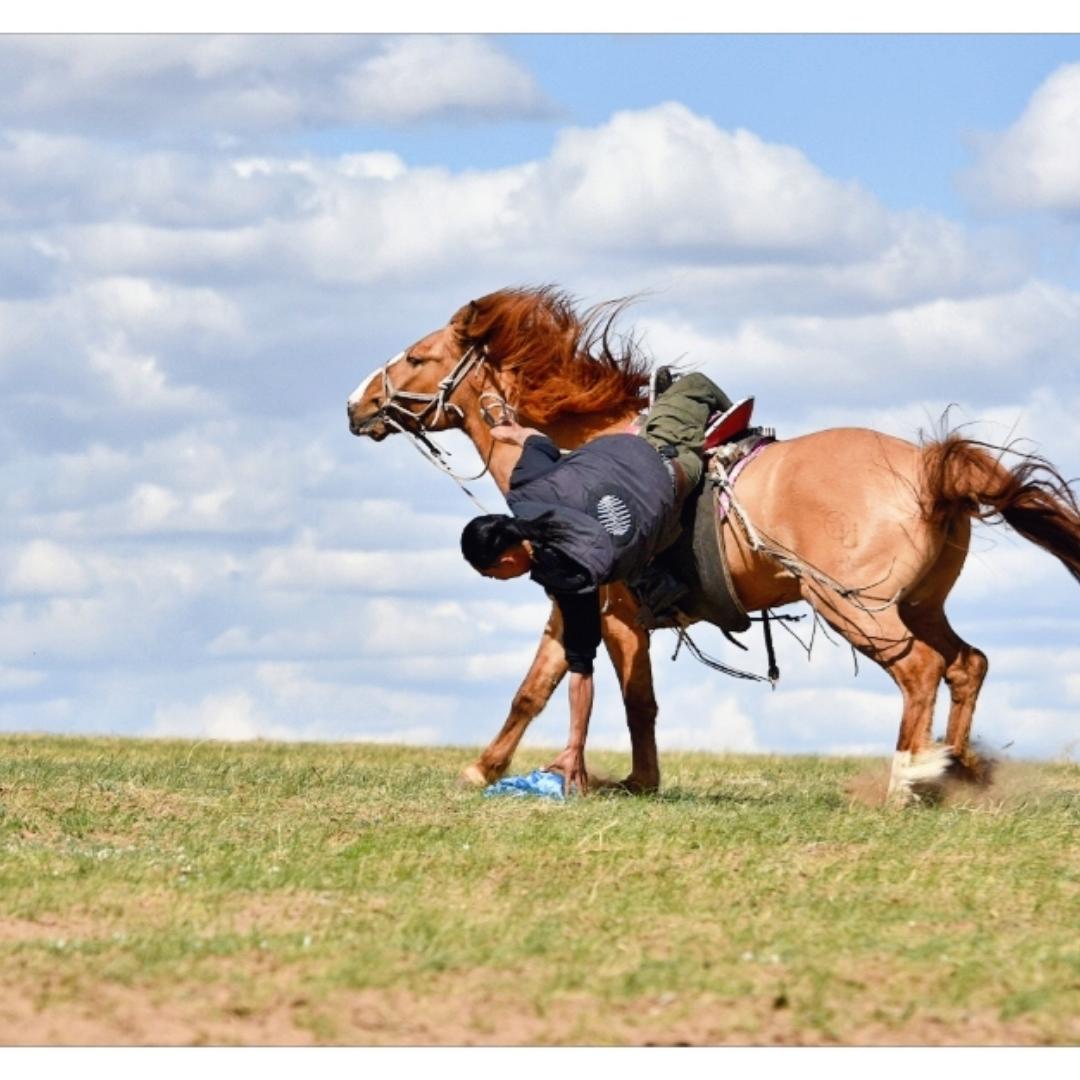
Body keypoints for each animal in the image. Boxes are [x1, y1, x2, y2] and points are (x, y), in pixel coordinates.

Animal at [345, 287, 1080, 803]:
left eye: (417, 357)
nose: (356, 404)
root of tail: (929, 466)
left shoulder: (611, 609)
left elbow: (629, 698)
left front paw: (615, 780)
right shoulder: (573, 604)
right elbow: (536, 688)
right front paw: (484, 769)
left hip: (855, 608)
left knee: (922, 670)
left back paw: (908, 778)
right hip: (920, 603)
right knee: (967, 664)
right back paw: (958, 769)